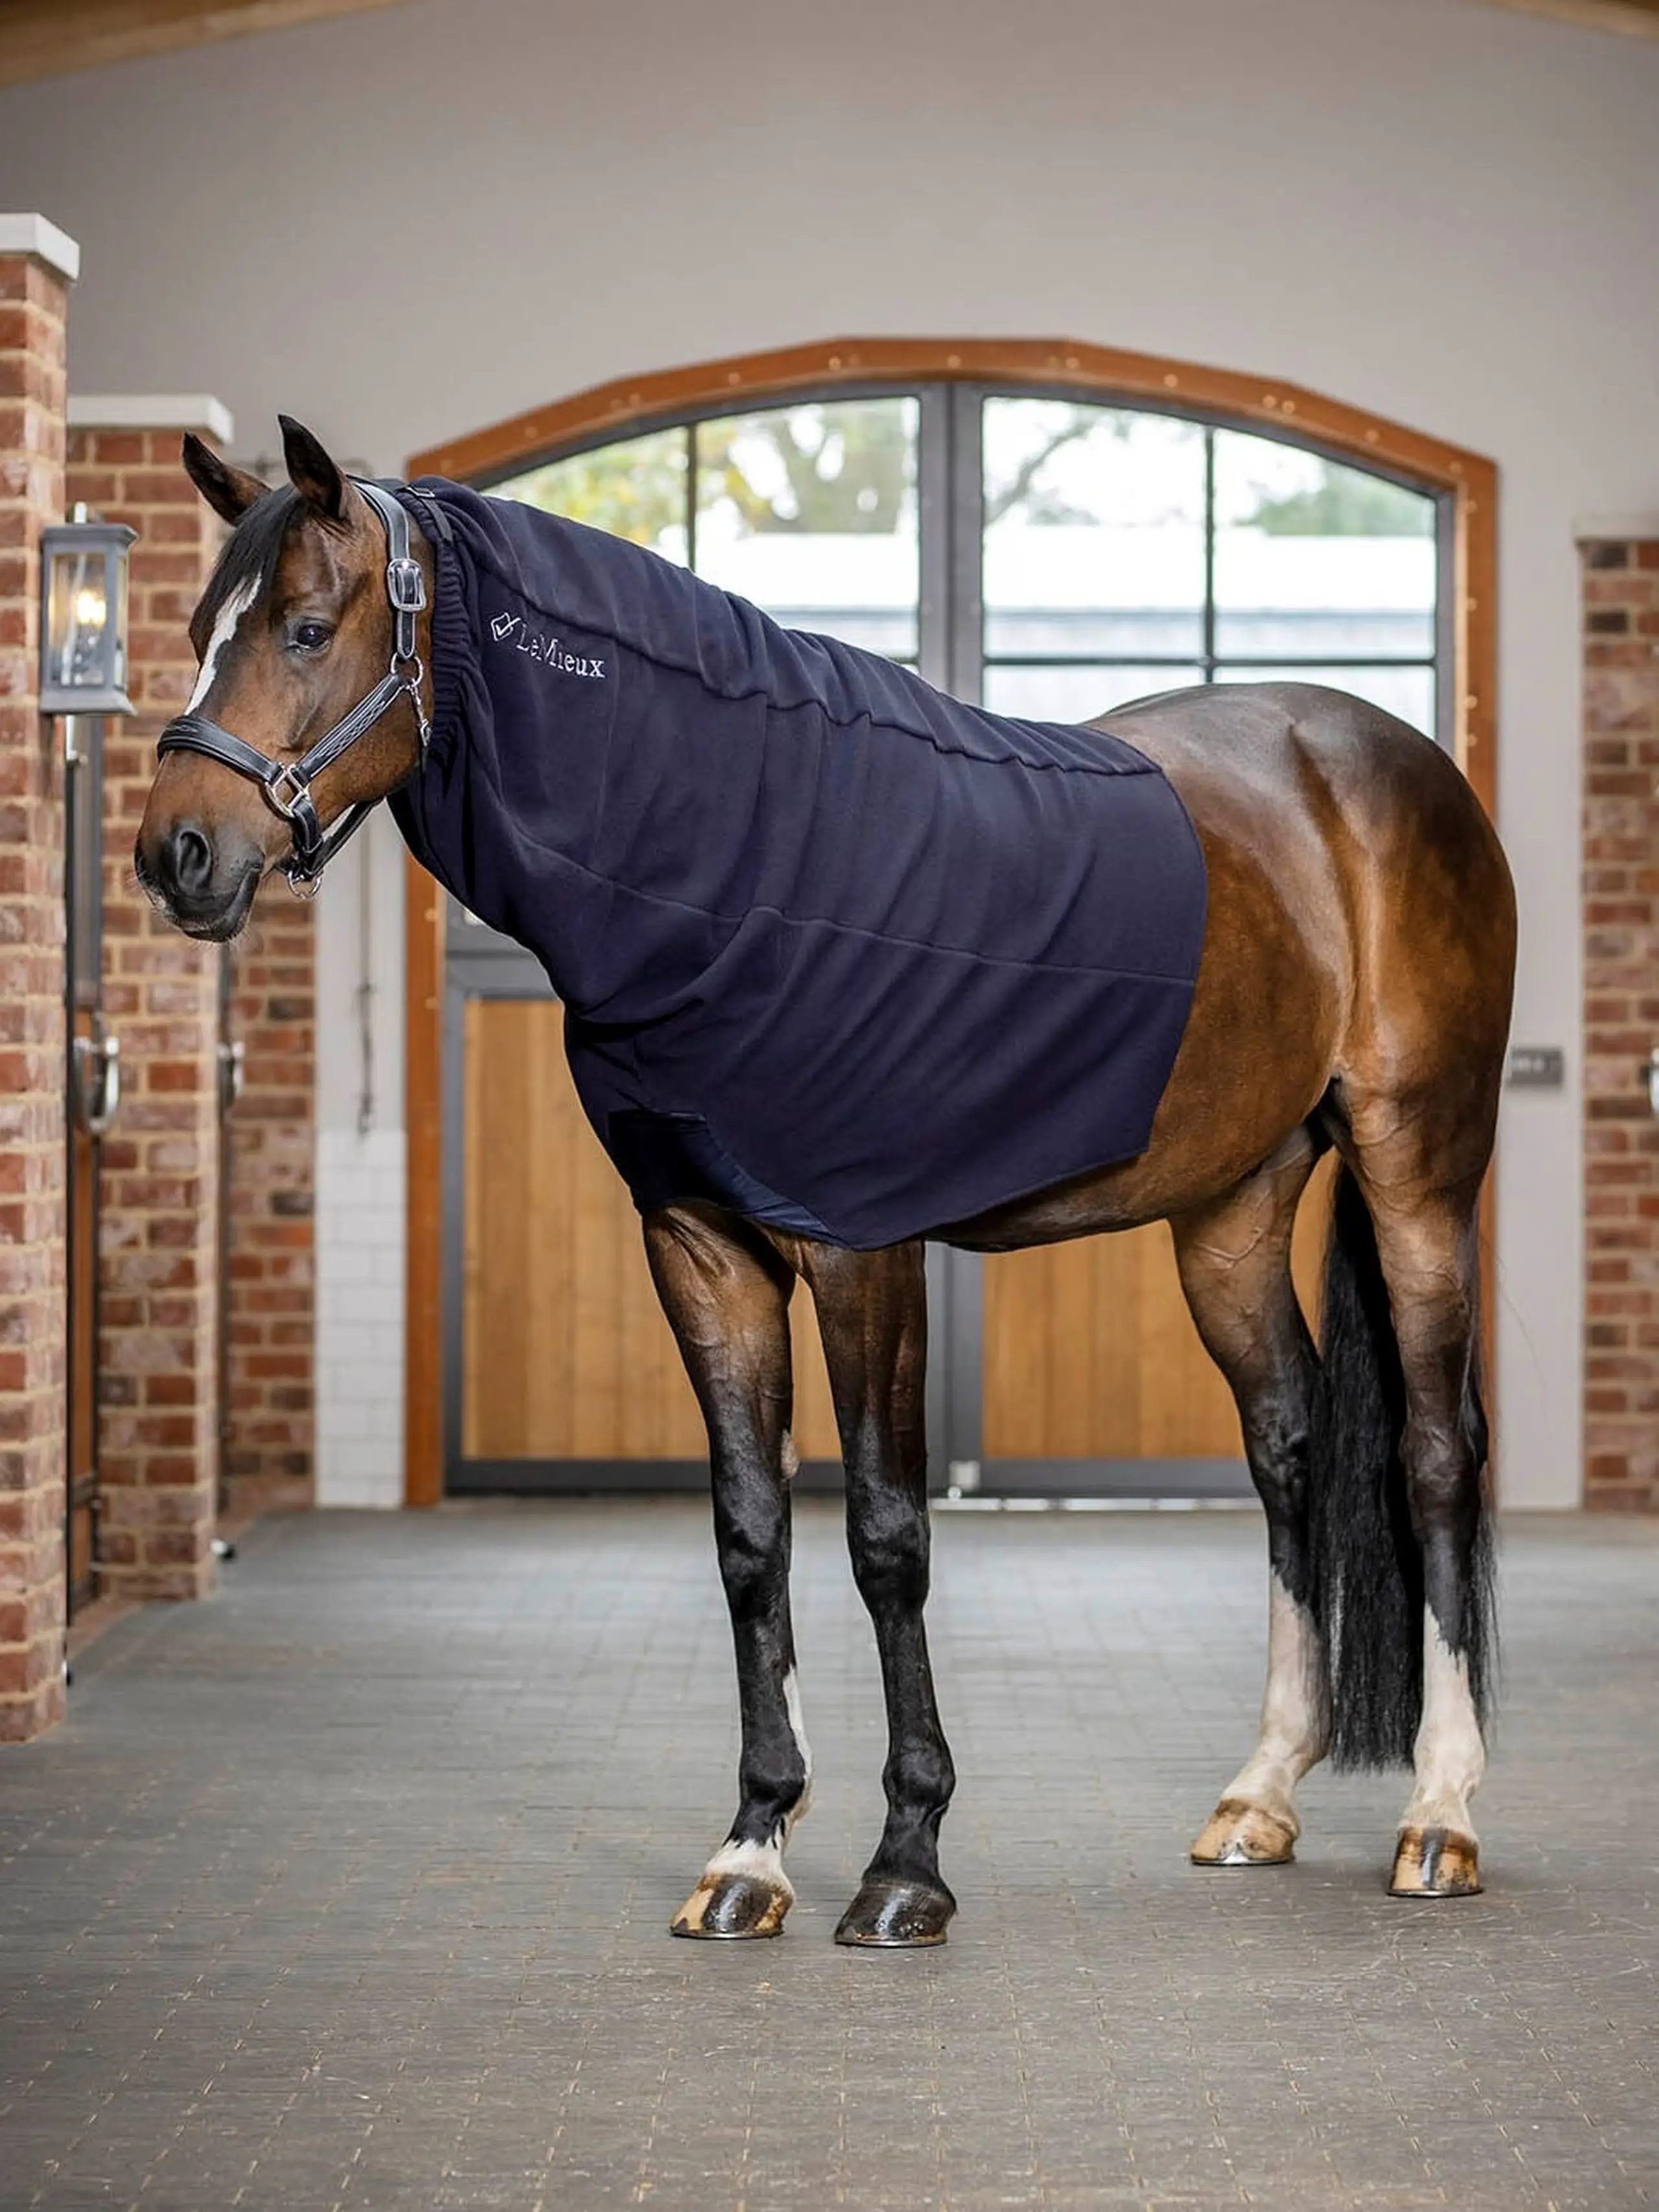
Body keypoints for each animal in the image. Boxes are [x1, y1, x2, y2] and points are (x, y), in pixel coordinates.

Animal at [136, 417, 1516, 1948]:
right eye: (197, 633)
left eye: (307, 628)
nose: (175, 854)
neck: (741, 850)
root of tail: (1381, 760)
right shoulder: (700, 1246)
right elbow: (749, 1536)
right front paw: (752, 1846)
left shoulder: (863, 1249)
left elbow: (882, 1532)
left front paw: (904, 1859)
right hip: (1229, 1208)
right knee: (1289, 1443)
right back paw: (1260, 1793)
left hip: (1418, 1173)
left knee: (1434, 1452)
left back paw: (1441, 1813)